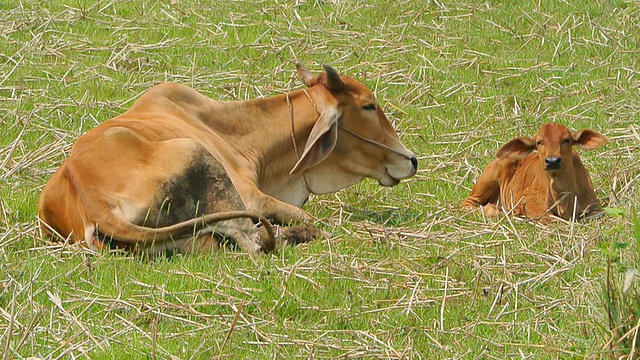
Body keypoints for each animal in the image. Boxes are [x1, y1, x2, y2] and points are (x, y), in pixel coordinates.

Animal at [40, 64, 420, 256]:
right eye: (369, 105)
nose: (412, 160)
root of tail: (90, 197)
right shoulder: (253, 198)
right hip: (198, 158)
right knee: (254, 241)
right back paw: (303, 235)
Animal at [462, 122, 608, 221]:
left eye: (566, 140)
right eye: (539, 142)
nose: (553, 161)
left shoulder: (595, 207)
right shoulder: (527, 200)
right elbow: (550, 218)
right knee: (467, 203)